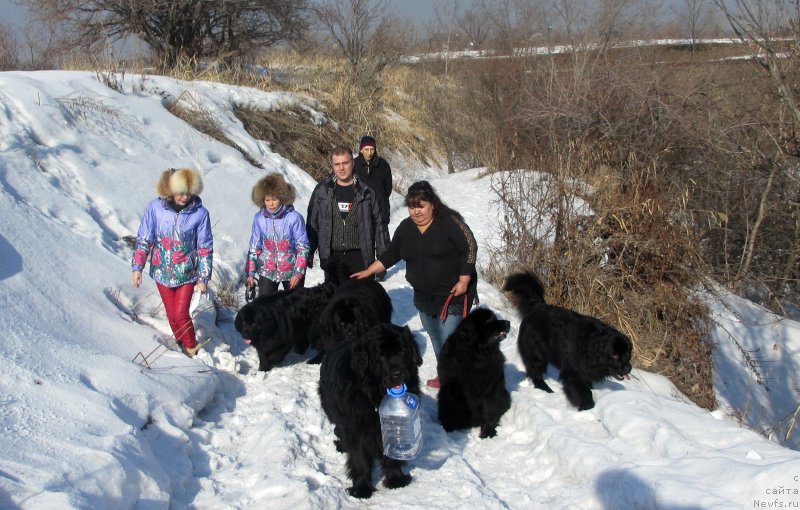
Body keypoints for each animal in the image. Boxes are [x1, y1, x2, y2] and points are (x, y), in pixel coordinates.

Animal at [318, 322, 422, 498]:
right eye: (381, 356)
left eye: (402, 351)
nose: (398, 373)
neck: (376, 396)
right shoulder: (356, 426)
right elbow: (359, 458)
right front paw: (361, 488)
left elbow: (391, 453)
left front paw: (396, 478)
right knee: (339, 430)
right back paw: (342, 445)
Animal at [438, 306, 512, 438]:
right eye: (489, 320)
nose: (508, 323)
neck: (478, 356)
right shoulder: (452, 388)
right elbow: (451, 408)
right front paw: (449, 430)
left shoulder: (491, 388)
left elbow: (489, 410)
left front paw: (487, 433)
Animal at [504, 270, 636, 410]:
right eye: (614, 355)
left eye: (627, 354)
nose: (628, 368)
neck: (591, 346)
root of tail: (538, 305)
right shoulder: (573, 372)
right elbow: (582, 390)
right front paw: (587, 405)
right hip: (536, 352)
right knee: (536, 373)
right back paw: (546, 390)